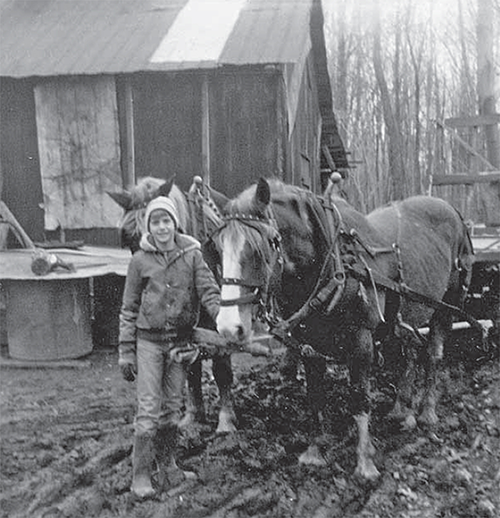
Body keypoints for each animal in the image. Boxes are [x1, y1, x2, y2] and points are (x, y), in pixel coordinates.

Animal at [108, 177, 237, 436]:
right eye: (128, 237)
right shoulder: (189, 330)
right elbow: (192, 371)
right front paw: (193, 417)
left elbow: (222, 371)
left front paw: (226, 422)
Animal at [211, 179, 472, 484]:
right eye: (217, 249)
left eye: (261, 248)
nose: (229, 327)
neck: (334, 266)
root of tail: (453, 211)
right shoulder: (309, 345)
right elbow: (315, 397)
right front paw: (315, 452)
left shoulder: (361, 342)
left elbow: (359, 399)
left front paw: (365, 463)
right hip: (407, 315)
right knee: (410, 352)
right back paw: (401, 411)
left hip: (448, 304)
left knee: (432, 354)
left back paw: (427, 412)